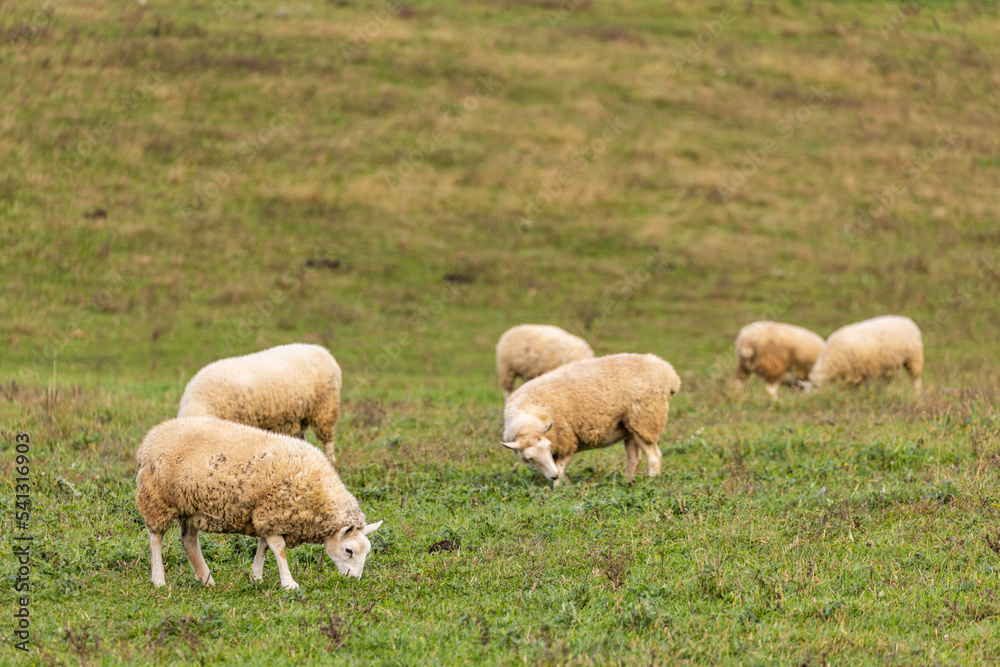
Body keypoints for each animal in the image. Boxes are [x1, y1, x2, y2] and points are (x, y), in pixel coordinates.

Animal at [134, 418, 382, 588]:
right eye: (349, 550)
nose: (355, 580)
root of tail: (150, 439)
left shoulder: (267, 514)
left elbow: (264, 545)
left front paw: (256, 576)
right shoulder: (272, 512)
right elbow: (279, 549)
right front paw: (289, 583)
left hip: (189, 505)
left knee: (188, 540)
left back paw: (206, 579)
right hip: (157, 498)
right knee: (156, 538)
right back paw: (159, 579)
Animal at [175, 344, 340, 460]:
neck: (201, 401)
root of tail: (323, 350)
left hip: (326, 409)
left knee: (328, 441)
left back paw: (332, 461)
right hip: (299, 417)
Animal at [500, 352, 680, 488]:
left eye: (548, 447)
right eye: (530, 458)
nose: (552, 476)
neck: (529, 415)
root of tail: (668, 372)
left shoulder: (567, 440)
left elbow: (560, 467)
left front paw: (558, 491)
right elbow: (560, 469)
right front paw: (563, 484)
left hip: (645, 420)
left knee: (654, 456)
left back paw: (652, 482)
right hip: (630, 426)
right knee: (634, 458)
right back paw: (627, 482)